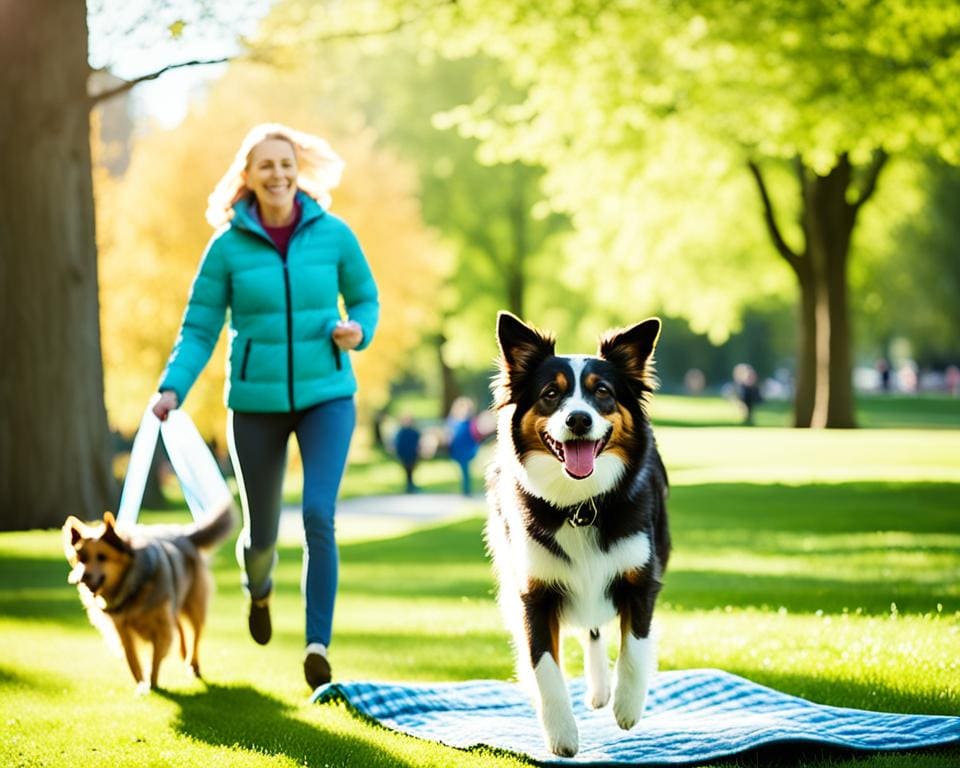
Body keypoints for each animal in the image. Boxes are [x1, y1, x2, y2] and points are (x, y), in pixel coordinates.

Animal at [62, 500, 233, 692]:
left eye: (102, 557)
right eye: (81, 558)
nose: (82, 577)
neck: (132, 586)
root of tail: (184, 535)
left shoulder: (161, 626)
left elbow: (155, 659)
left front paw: (153, 683)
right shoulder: (122, 630)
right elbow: (132, 659)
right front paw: (141, 685)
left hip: (194, 605)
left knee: (196, 635)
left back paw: (193, 664)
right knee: (180, 628)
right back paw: (182, 654)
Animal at [488, 312, 668, 756]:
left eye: (602, 392)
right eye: (551, 394)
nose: (578, 419)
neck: (580, 506)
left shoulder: (641, 579)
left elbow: (635, 644)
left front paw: (627, 706)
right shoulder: (534, 593)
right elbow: (544, 667)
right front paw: (562, 735)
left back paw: (605, 692)